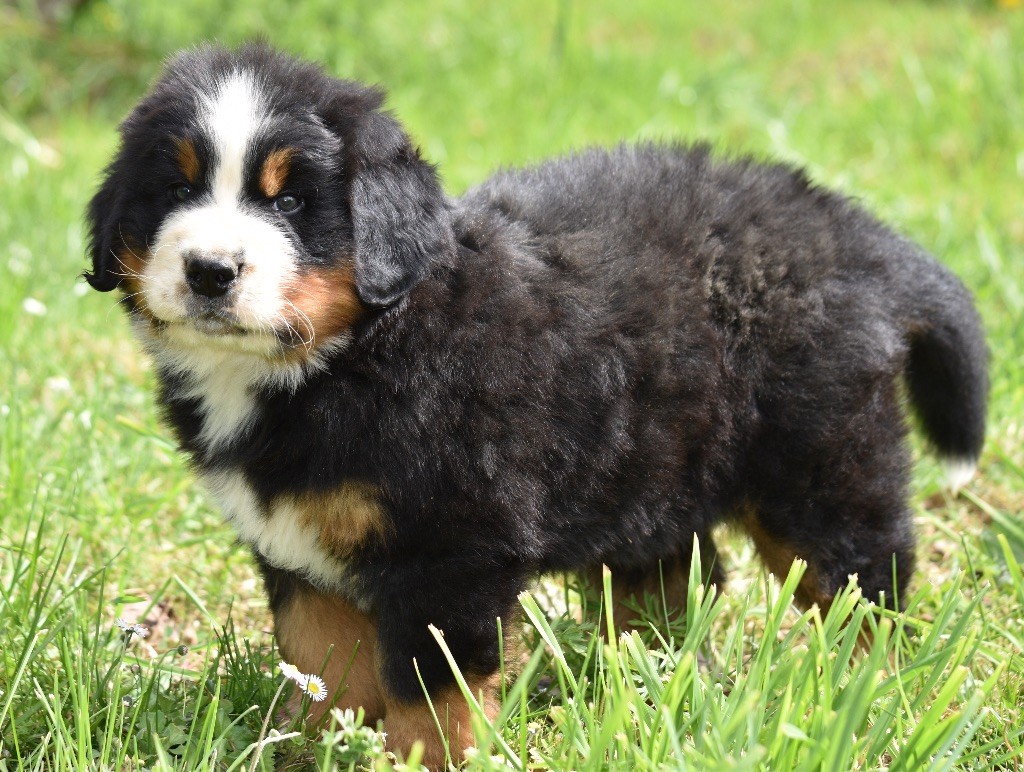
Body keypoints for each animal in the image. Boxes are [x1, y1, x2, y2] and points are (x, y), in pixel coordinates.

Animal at [86, 43, 983, 765]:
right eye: (176, 189)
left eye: (290, 202)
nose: (209, 270)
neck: (349, 355)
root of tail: (848, 230)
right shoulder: (299, 553)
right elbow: (321, 669)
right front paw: (318, 750)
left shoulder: (451, 550)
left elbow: (432, 694)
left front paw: (427, 760)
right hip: (655, 466)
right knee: (673, 584)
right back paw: (649, 684)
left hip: (822, 469)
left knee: (866, 590)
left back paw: (864, 695)